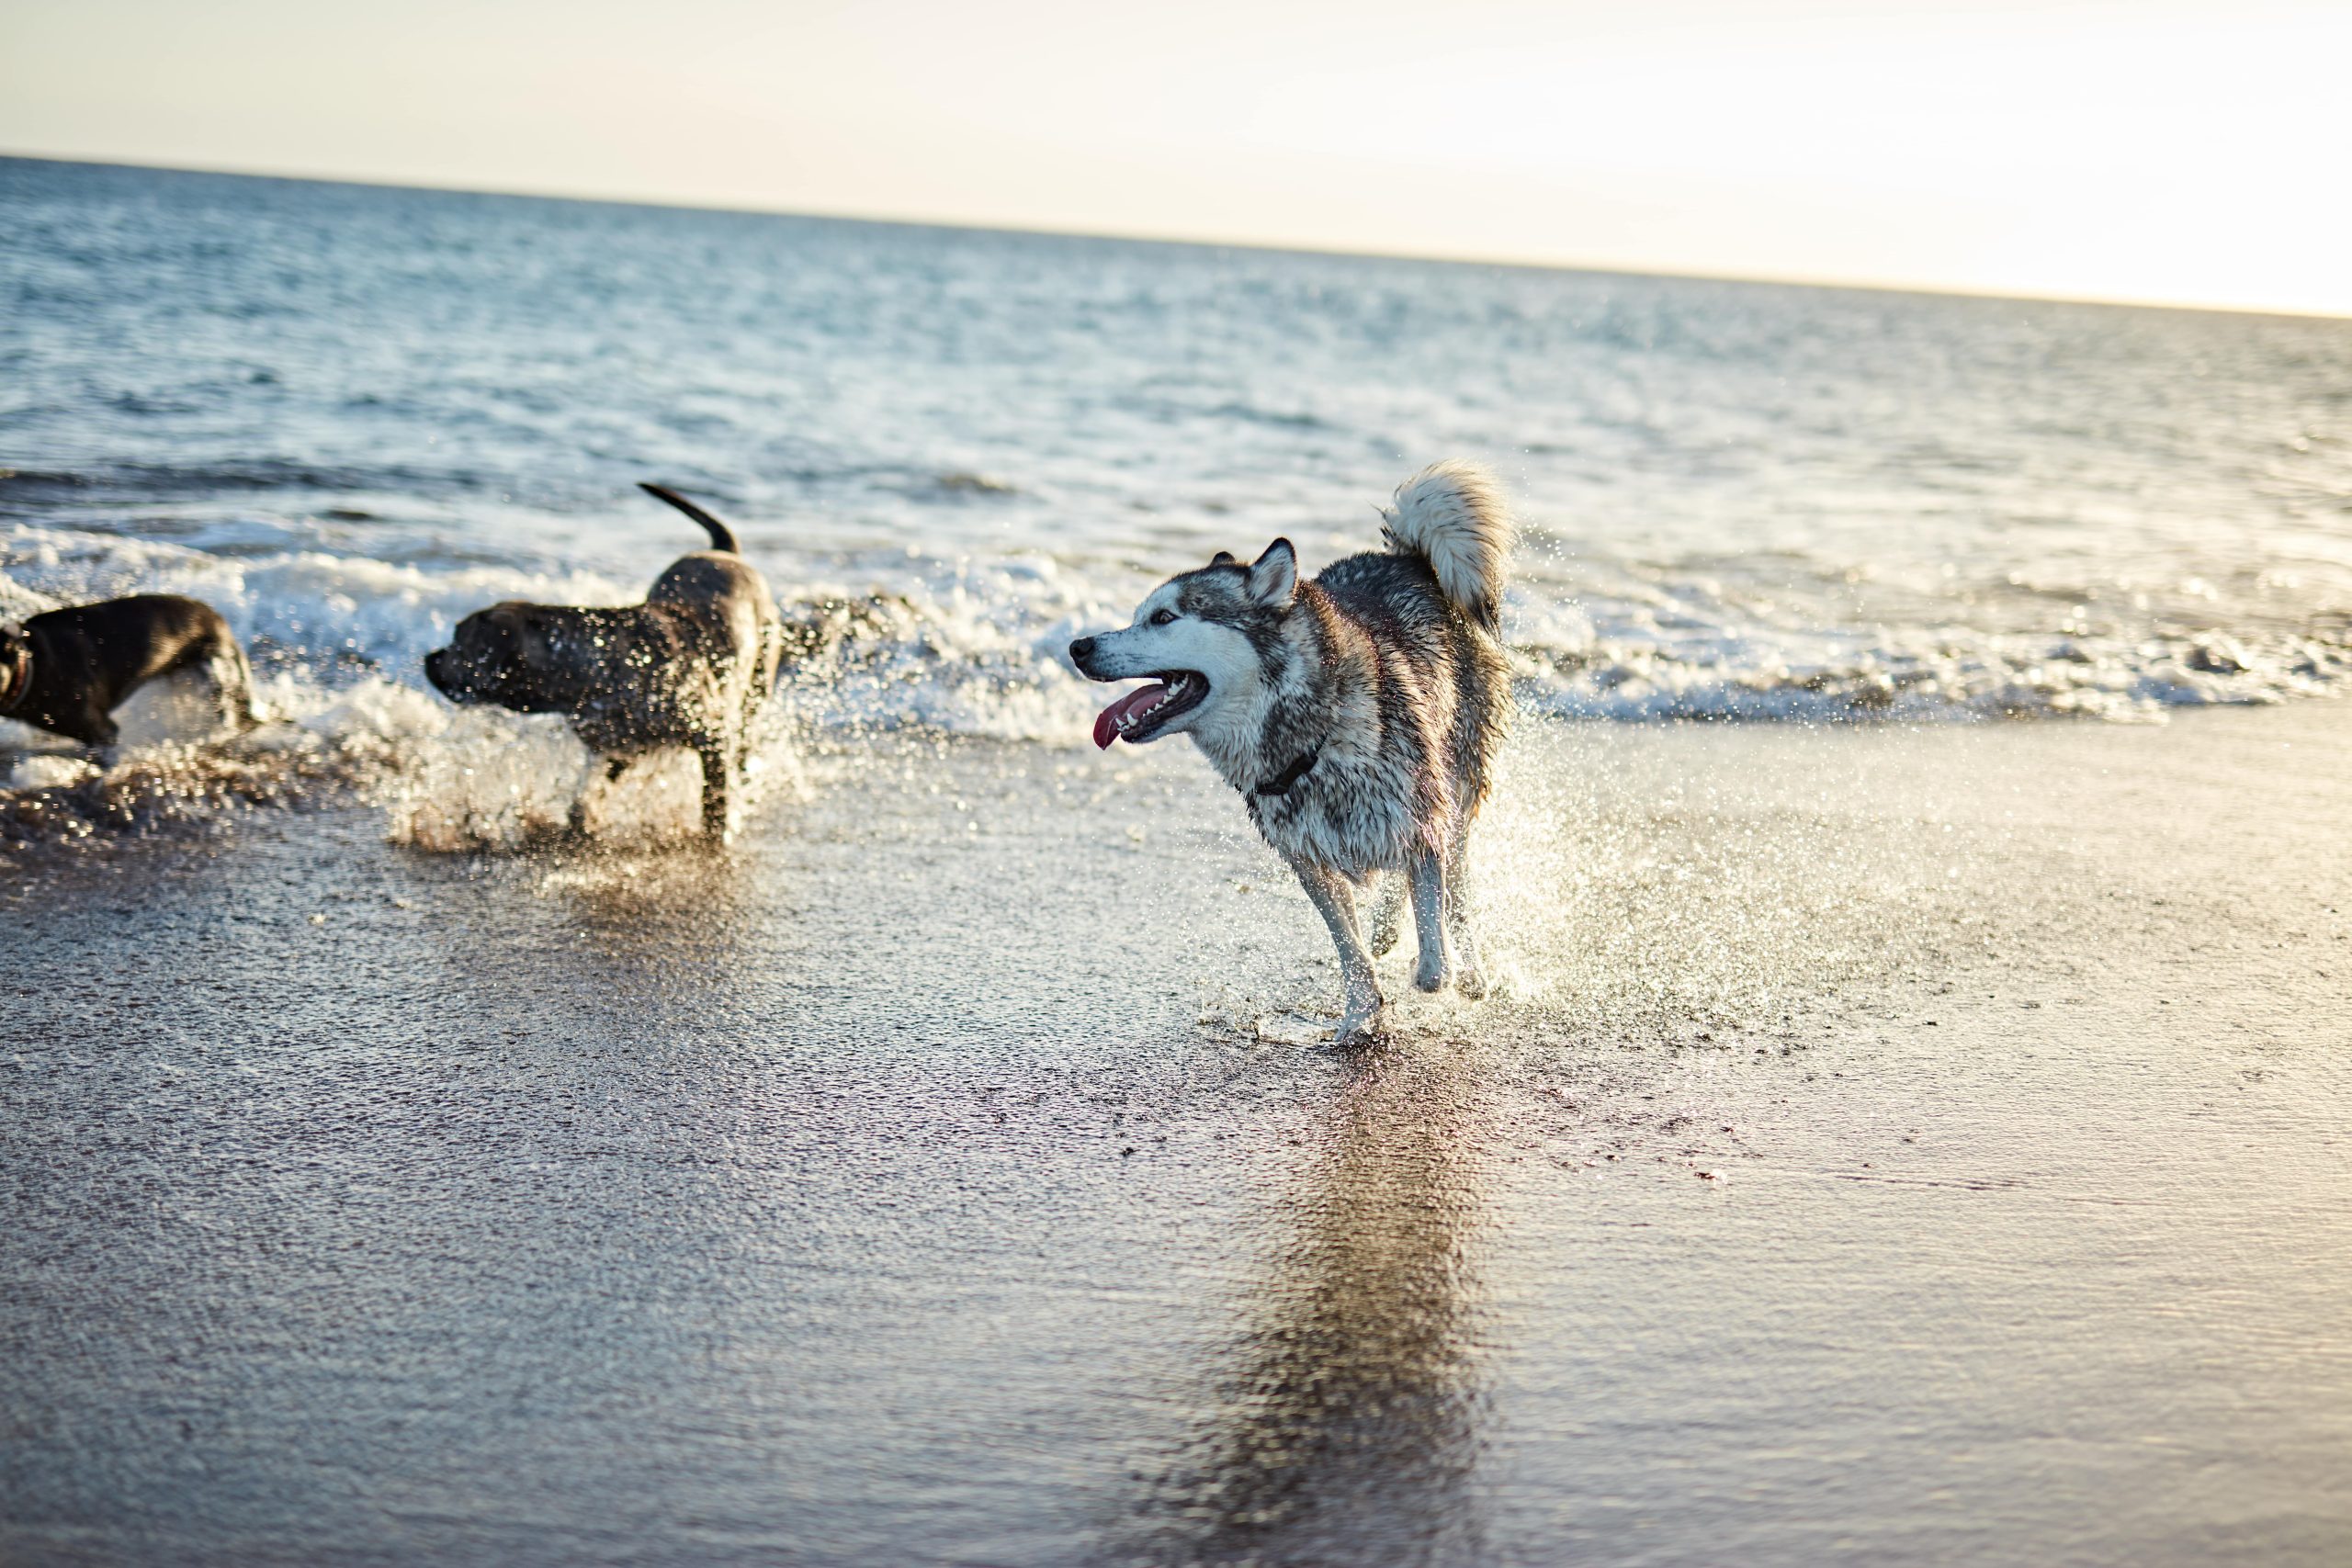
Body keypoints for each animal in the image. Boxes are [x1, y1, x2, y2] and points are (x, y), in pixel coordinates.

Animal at [425, 484, 790, 841]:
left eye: (458, 642)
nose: (431, 656)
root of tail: (726, 553)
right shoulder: (618, 744)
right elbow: (594, 790)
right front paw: (582, 819)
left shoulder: (710, 736)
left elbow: (714, 799)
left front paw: (716, 833)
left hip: (756, 687)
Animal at [1077, 456, 1514, 1043]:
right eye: (1140, 614)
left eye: (1164, 618)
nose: (1079, 647)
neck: (1312, 742)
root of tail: (1409, 559)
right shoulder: (1307, 857)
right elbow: (1350, 949)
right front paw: (1361, 1013)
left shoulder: (1421, 812)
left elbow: (1430, 901)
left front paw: (1431, 968)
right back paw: (1386, 929)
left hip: (1459, 783)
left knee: (1458, 883)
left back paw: (1468, 970)